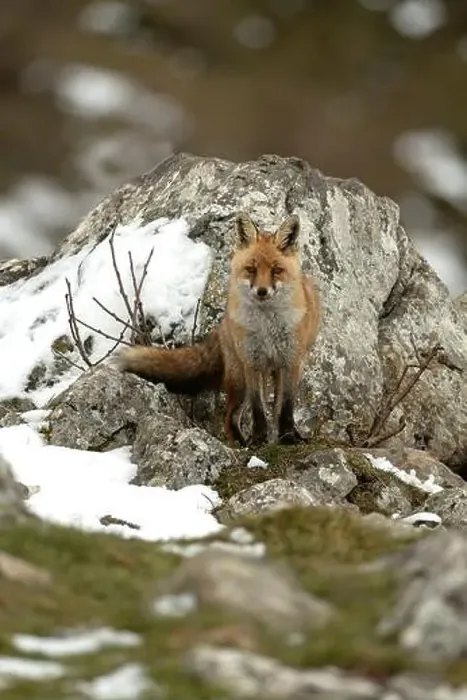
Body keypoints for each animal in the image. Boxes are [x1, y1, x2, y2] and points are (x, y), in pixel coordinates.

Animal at [118, 212, 321, 446]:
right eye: (251, 269)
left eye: (276, 270)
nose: (262, 291)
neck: (267, 328)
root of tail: (222, 325)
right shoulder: (251, 362)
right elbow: (258, 409)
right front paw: (258, 439)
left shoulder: (291, 361)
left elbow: (286, 408)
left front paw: (288, 437)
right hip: (239, 378)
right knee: (230, 417)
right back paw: (243, 443)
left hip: (273, 371)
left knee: (271, 409)